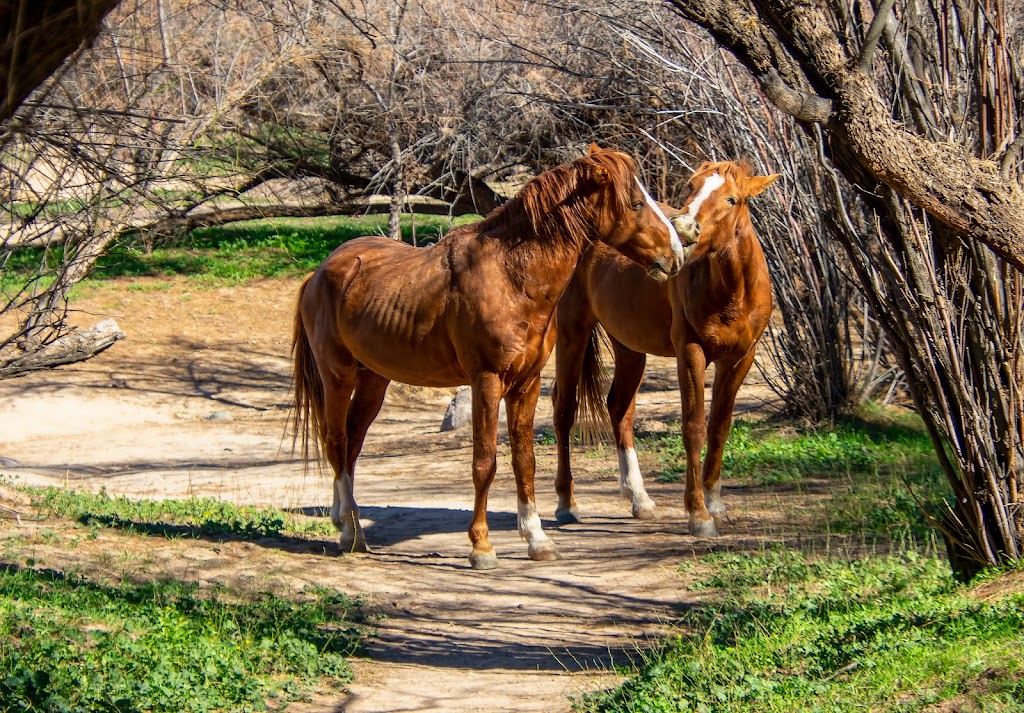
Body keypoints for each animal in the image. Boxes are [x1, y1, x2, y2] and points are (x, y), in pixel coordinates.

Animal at [292, 144, 684, 569]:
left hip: (373, 381)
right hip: (338, 376)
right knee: (335, 442)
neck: (510, 277)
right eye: (635, 203)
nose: (677, 254)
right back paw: (350, 531)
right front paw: (481, 546)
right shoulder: (487, 381)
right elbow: (485, 462)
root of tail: (320, 273)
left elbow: (524, 460)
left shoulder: (526, 385)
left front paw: (536, 538)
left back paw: (345, 520)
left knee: (351, 445)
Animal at [557, 161, 778, 536]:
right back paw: (566, 504)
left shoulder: (740, 359)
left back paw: (639, 498)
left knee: (619, 409)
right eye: (690, 186)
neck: (734, 293)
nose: (684, 230)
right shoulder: (691, 352)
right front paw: (698, 514)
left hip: (628, 347)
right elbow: (694, 428)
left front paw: (715, 502)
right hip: (571, 332)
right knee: (564, 411)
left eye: (732, 199)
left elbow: (720, 426)